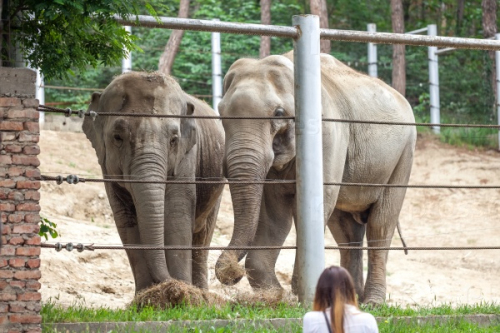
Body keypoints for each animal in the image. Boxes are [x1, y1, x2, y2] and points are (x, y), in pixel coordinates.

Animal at [83, 72, 225, 294]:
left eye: (174, 140)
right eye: (117, 137)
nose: (168, 284)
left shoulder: (187, 157)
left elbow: (177, 214)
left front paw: (185, 294)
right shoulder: (107, 168)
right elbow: (126, 219)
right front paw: (145, 295)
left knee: (202, 235)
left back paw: (202, 293)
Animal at [213, 51, 416, 304]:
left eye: (278, 114)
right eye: (221, 113)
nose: (232, 272)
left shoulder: (326, 133)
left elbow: (308, 207)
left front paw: (299, 292)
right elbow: (274, 216)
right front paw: (276, 295)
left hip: (403, 154)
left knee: (381, 223)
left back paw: (373, 302)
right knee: (346, 230)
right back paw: (351, 298)